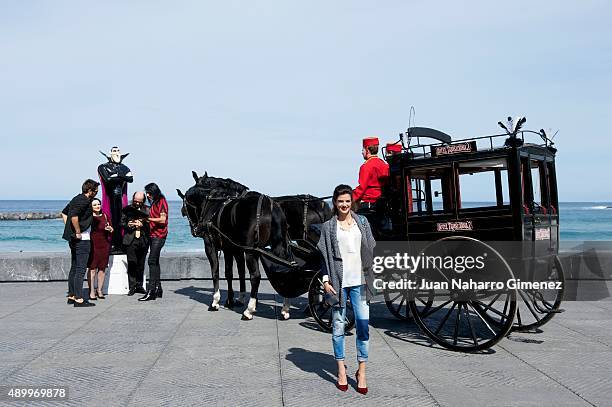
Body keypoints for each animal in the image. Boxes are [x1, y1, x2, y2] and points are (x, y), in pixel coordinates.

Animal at [177, 171, 294, 320]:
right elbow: (234, 272)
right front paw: (234, 299)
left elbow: (216, 272)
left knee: (255, 276)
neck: (213, 203)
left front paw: (216, 301)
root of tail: (270, 204)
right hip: (278, 247)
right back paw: (285, 308)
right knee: (284, 272)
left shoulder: (211, 246)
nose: (195, 230)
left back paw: (249, 310)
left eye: (186, 207)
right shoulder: (233, 248)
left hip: (251, 251)